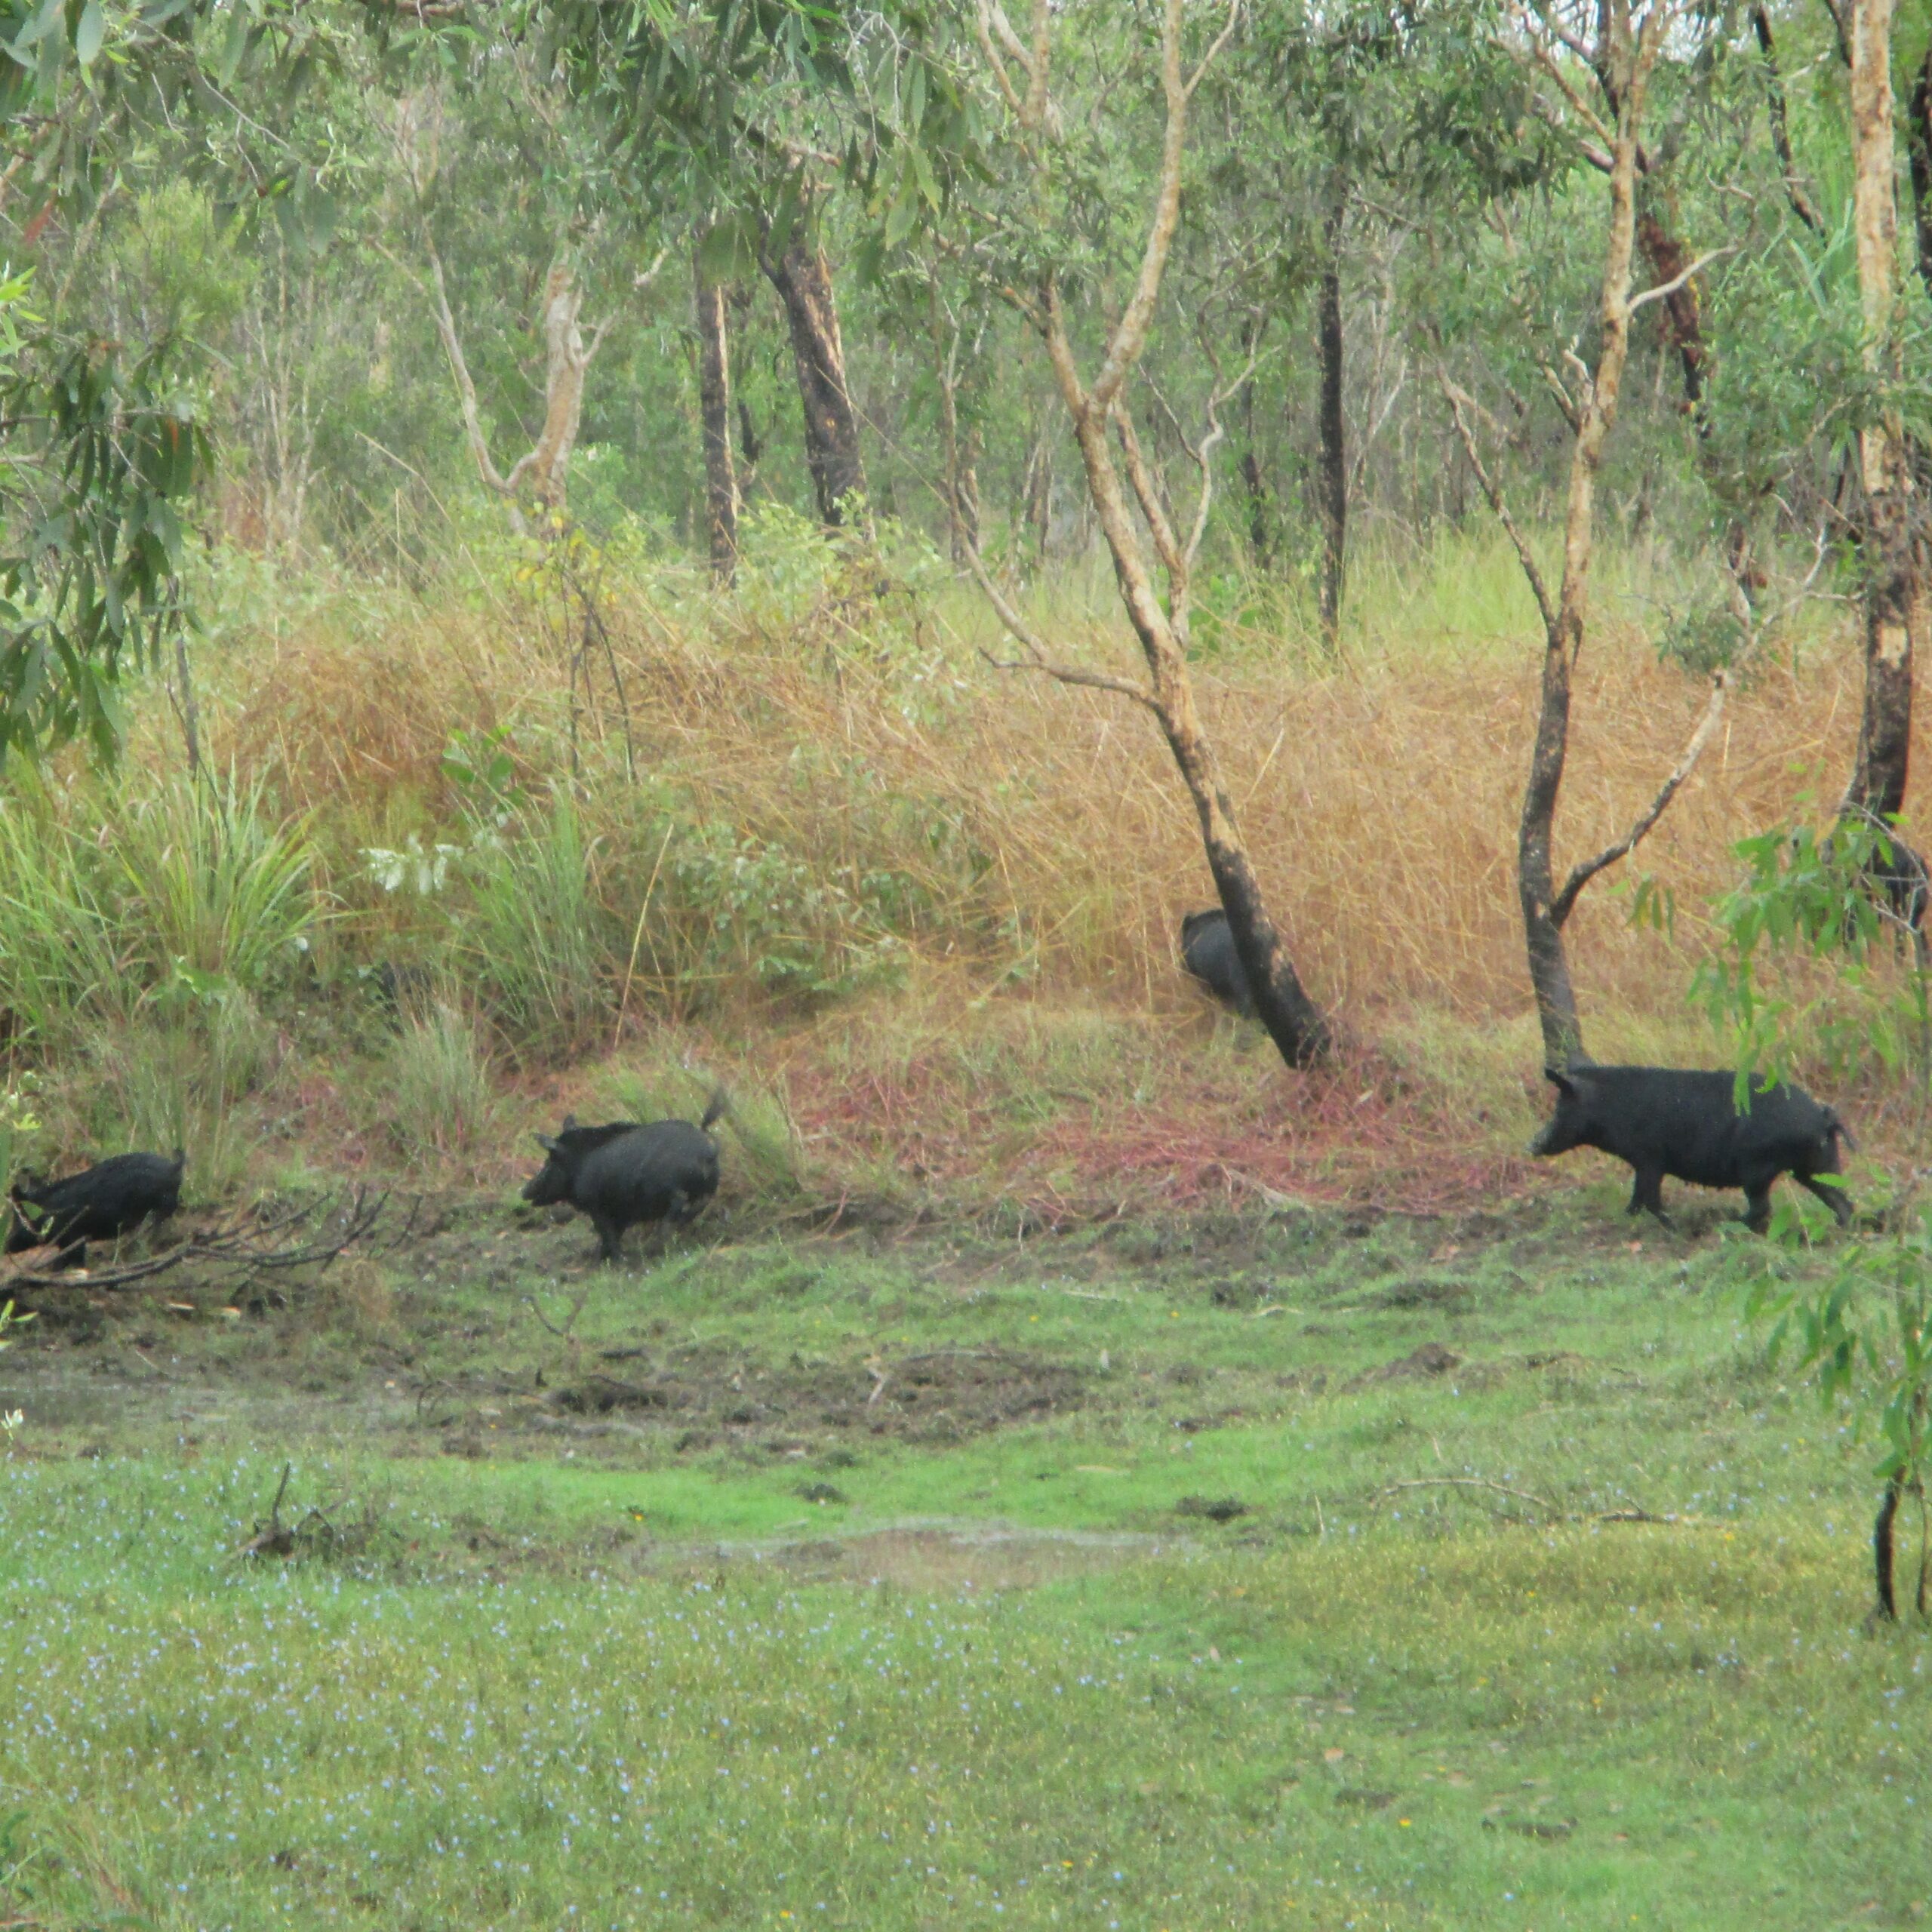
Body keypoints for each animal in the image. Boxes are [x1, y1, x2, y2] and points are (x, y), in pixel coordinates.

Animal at [521, 1097, 726, 1260]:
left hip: (667, 1185)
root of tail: (706, 1151)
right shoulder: (621, 1210)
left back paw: (660, 1239)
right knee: (700, 1202)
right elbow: (615, 1233)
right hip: (710, 1185)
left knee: (679, 1202)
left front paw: (613, 1259)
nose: (524, 1190)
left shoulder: (596, 1206)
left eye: (549, 1161)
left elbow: (607, 1233)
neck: (579, 1164)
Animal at [1522, 1066, 1854, 1229]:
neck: (1611, 1106)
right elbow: (1637, 1198)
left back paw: (1727, 1223)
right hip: (1819, 1164)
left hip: (1757, 1167)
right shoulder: (1643, 1162)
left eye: (1560, 1108)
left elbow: (1650, 1198)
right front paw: (1626, 1217)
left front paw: (1672, 1226)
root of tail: (1823, 1117)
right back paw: (1841, 1228)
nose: (1531, 1144)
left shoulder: (1650, 1158)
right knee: (1842, 1200)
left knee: (1762, 1208)